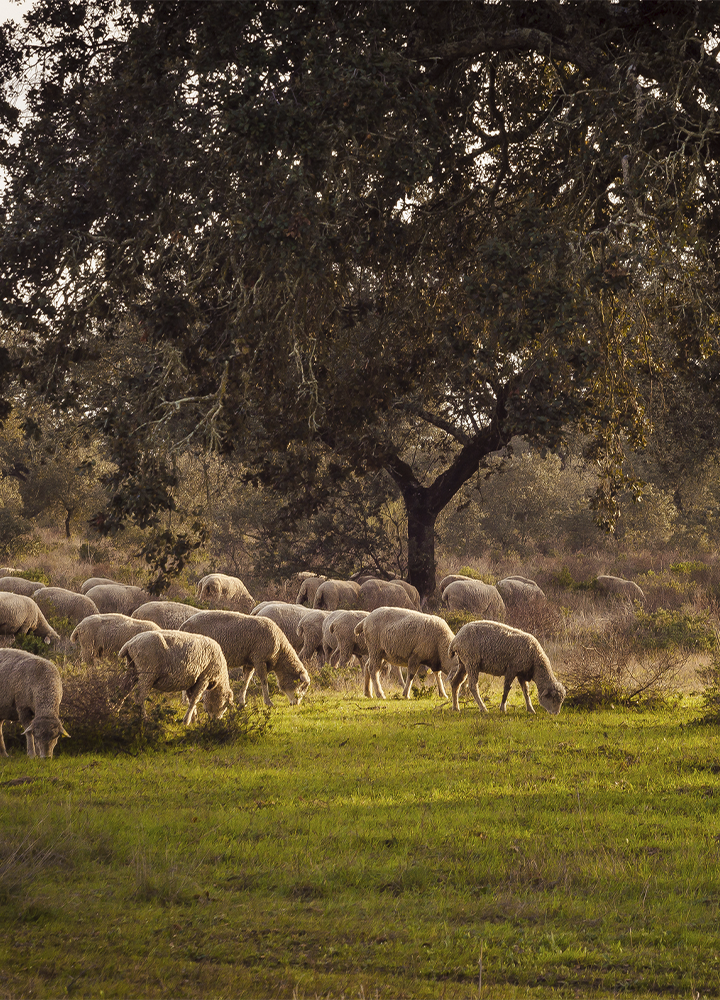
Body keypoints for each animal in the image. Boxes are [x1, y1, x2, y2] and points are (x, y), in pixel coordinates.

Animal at [181, 610, 310, 708]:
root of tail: (184, 624)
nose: (296, 704)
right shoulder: (259, 659)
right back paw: (186, 701)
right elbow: (264, 681)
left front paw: (242, 701)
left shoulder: (250, 663)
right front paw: (268, 702)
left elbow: (246, 681)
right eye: (302, 686)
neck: (280, 650)